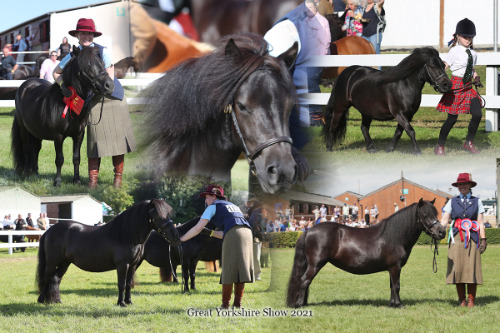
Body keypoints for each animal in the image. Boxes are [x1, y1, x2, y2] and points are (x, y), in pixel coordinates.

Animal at [11, 46, 114, 187]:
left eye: (102, 64)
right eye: (87, 65)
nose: (109, 85)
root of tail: (24, 86)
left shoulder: (78, 135)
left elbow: (76, 158)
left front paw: (77, 180)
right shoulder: (58, 136)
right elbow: (59, 159)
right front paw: (57, 182)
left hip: (36, 131)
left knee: (35, 149)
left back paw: (35, 173)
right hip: (24, 129)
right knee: (26, 149)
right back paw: (26, 174)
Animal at [37, 198, 182, 304]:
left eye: (168, 214)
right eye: (157, 216)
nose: (176, 235)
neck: (126, 235)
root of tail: (49, 230)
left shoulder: (133, 265)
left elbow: (128, 284)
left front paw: (129, 302)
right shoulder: (123, 265)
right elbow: (121, 284)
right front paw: (121, 303)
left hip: (65, 263)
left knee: (55, 279)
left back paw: (56, 301)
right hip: (52, 262)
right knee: (46, 278)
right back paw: (41, 300)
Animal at [288, 198, 448, 308]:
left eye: (436, 214)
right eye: (425, 215)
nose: (442, 232)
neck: (394, 237)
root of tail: (309, 230)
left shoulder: (391, 268)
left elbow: (392, 286)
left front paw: (392, 304)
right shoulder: (395, 267)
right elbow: (397, 285)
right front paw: (399, 304)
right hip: (315, 264)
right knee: (304, 281)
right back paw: (299, 305)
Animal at [322, 46, 452, 153]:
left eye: (443, 65)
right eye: (433, 67)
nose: (447, 85)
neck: (404, 85)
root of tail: (346, 72)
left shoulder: (408, 115)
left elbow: (399, 131)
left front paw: (390, 149)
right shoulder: (399, 113)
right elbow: (410, 130)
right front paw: (417, 151)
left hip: (366, 111)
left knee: (364, 128)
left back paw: (371, 148)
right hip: (340, 106)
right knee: (333, 125)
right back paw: (329, 148)